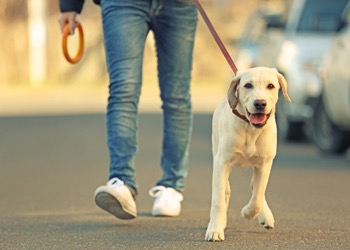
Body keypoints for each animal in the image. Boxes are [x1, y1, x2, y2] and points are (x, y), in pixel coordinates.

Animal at [204, 67, 292, 242]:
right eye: (248, 85)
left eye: (271, 86)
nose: (260, 103)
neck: (250, 129)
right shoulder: (222, 162)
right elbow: (218, 199)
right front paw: (215, 229)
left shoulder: (265, 164)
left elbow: (257, 195)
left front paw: (248, 212)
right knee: (226, 190)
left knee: (256, 187)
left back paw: (265, 216)